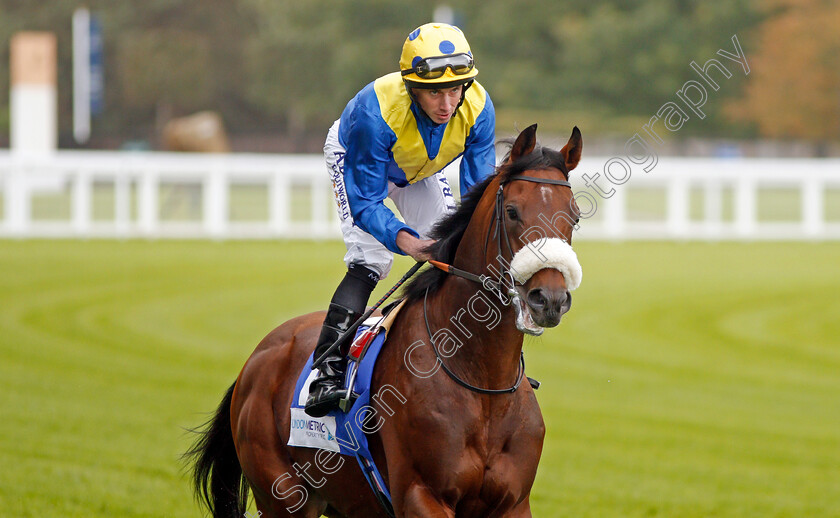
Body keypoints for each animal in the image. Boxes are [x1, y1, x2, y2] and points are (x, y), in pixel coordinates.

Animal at [188, 124, 584, 516]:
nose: (549, 299)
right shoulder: (421, 495)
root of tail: (255, 360)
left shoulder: (513, 503)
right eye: (513, 211)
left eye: (575, 216)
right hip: (283, 498)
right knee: (366, 263)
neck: (483, 384)